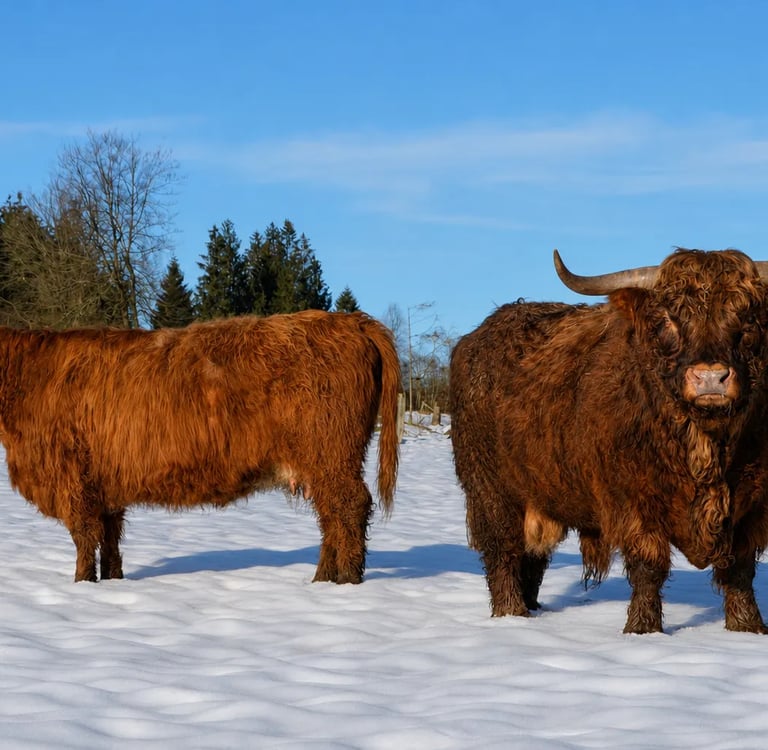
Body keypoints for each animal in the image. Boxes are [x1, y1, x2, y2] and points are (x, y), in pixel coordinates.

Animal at [0, 310, 401, 585]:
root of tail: (350, 320)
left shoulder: (72, 479)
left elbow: (84, 538)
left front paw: (82, 584)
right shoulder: (104, 484)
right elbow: (109, 537)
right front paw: (113, 580)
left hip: (331, 455)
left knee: (349, 507)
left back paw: (346, 581)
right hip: (320, 465)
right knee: (331, 516)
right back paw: (322, 580)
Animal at [450, 248, 768, 634]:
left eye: (747, 318)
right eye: (668, 319)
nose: (710, 378)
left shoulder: (753, 508)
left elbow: (740, 570)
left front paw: (748, 628)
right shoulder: (633, 502)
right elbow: (649, 567)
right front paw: (643, 629)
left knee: (533, 556)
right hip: (490, 490)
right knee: (503, 553)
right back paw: (511, 615)